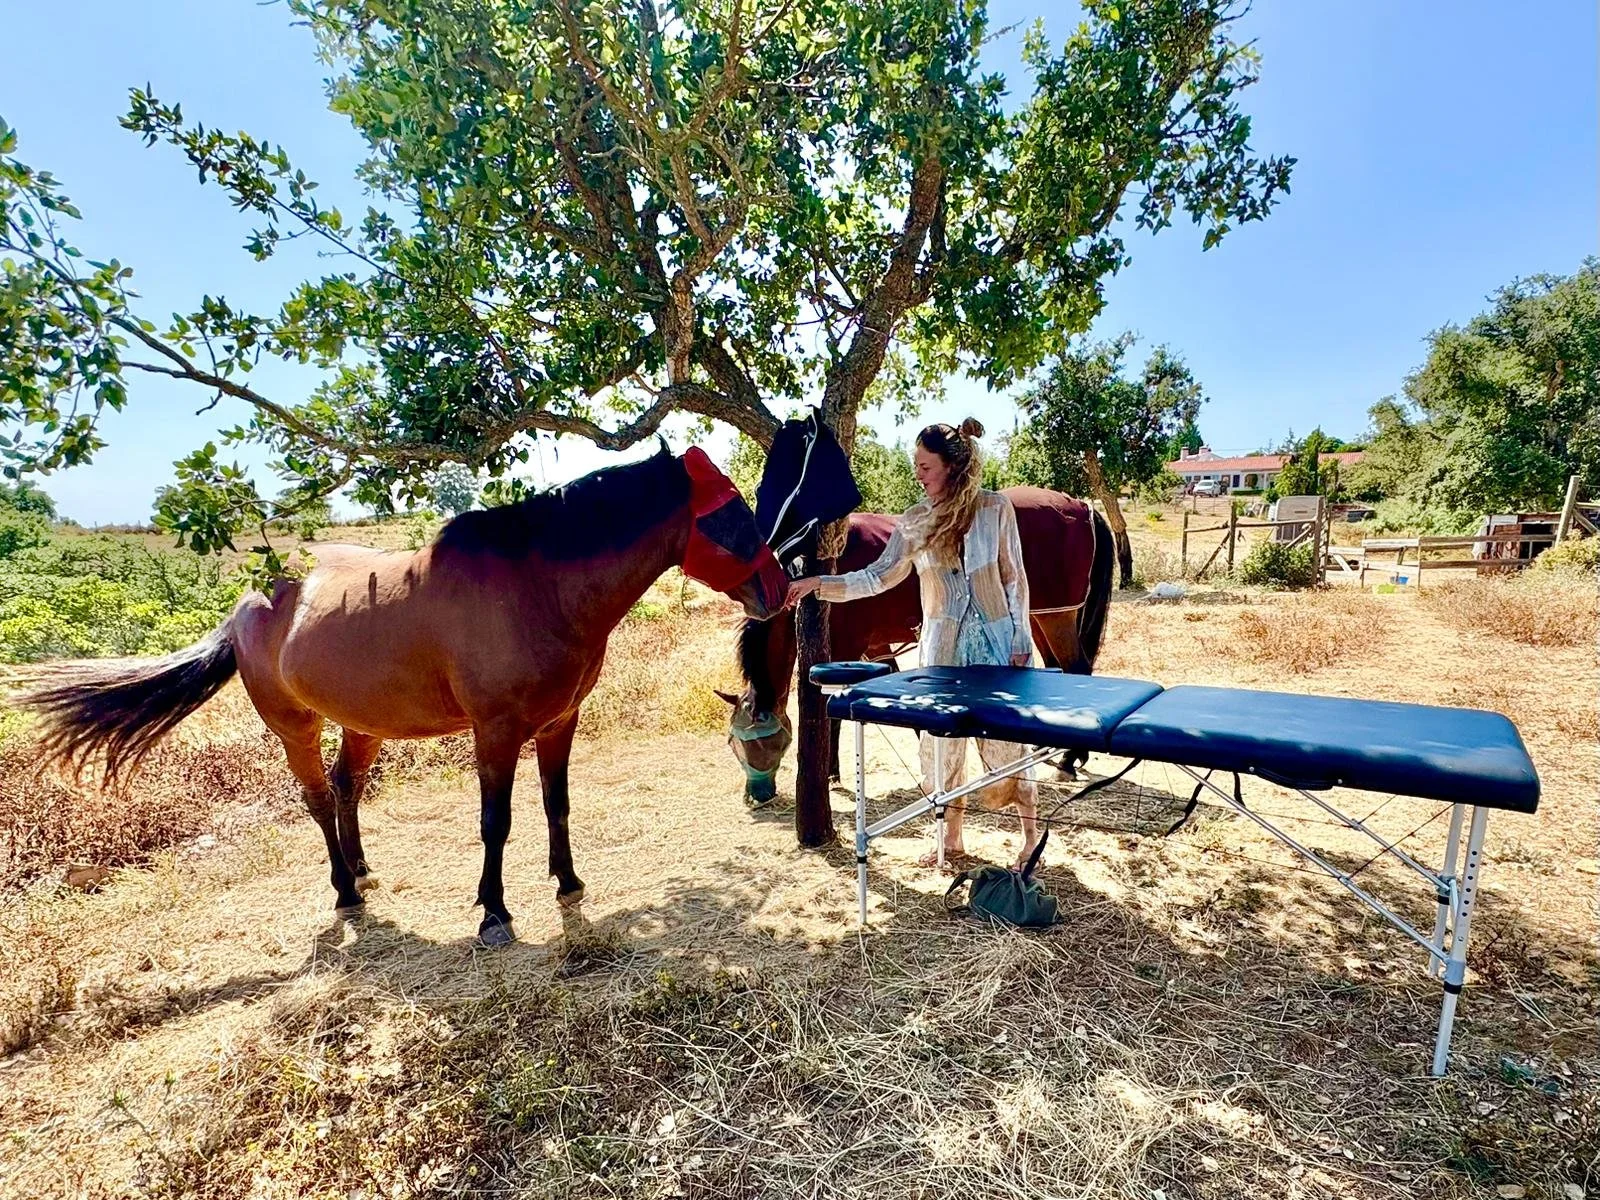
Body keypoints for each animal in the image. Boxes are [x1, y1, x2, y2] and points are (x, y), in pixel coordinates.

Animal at [20, 446, 787, 945]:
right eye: (732, 517)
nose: (778, 589)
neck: (538, 587)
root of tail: (247, 602)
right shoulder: (496, 731)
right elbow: (496, 822)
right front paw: (493, 914)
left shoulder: (558, 723)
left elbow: (557, 806)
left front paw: (567, 880)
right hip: (294, 726)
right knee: (317, 797)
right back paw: (343, 889)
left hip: (362, 724)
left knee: (346, 787)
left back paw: (360, 869)